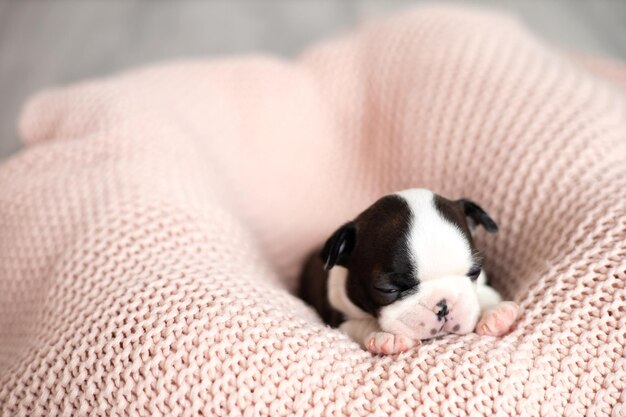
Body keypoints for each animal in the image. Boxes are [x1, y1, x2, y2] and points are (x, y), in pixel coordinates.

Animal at [298, 188, 516, 354]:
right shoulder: (339, 321)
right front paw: (387, 335)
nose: (443, 306)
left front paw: (496, 312)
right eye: (387, 289)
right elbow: (362, 323)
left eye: (474, 272)